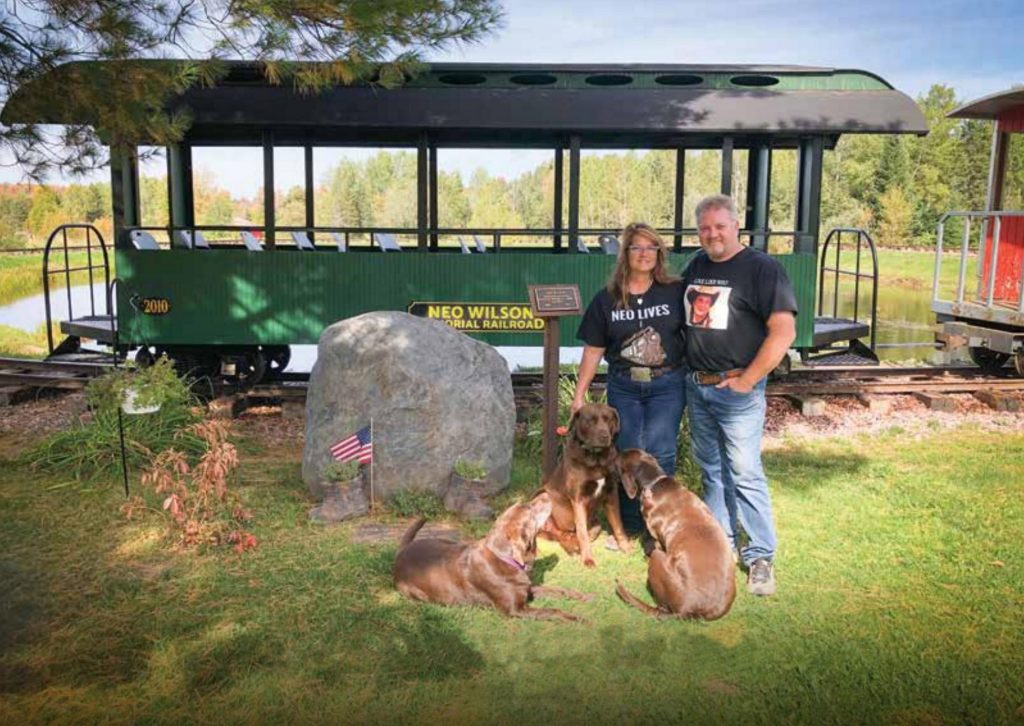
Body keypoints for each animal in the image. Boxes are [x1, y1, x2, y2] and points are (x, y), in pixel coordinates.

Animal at [393, 491, 591, 621]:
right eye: (529, 508)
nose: (547, 493)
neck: (505, 559)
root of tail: (402, 551)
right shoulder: (516, 610)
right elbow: (553, 611)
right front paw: (576, 618)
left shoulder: (528, 589)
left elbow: (558, 590)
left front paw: (582, 595)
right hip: (413, 593)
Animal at [539, 403, 630, 568]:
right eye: (590, 420)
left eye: (608, 419)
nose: (605, 436)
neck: (596, 459)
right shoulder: (578, 498)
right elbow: (582, 531)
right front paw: (588, 558)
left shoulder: (611, 494)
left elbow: (618, 524)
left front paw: (625, 546)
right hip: (542, 495)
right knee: (562, 534)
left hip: (594, 523)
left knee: (569, 535)